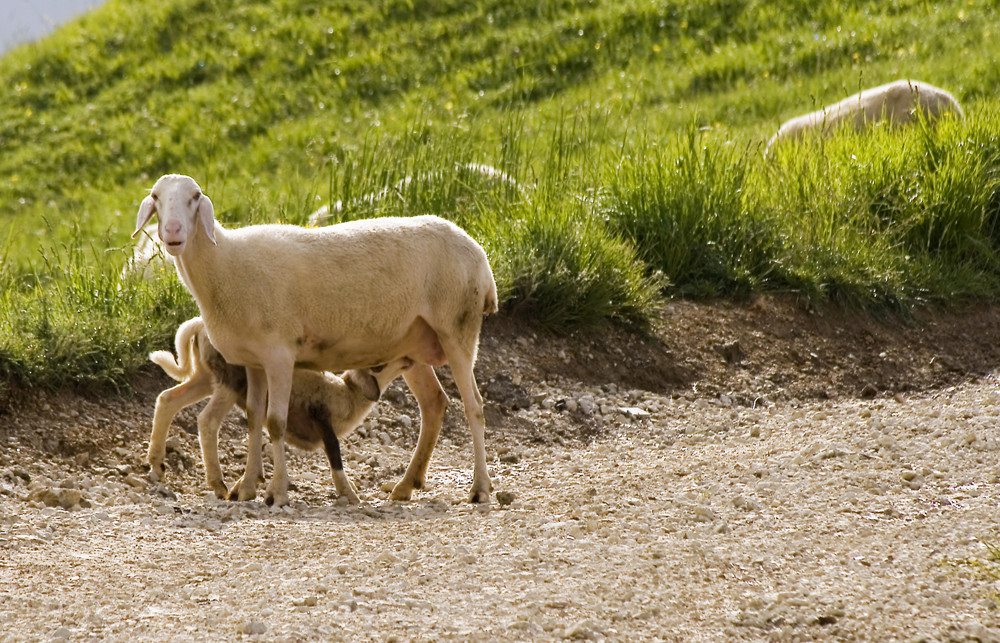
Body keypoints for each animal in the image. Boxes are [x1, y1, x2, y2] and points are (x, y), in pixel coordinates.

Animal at [148, 316, 414, 504]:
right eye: (378, 365)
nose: (409, 358)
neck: (346, 393)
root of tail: (198, 325)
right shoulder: (322, 418)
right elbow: (334, 453)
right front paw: (350, 494)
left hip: (206, 376)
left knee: (167, 399)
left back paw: (157, 466)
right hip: (230, 381)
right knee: (207, 420)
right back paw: (217, 484)